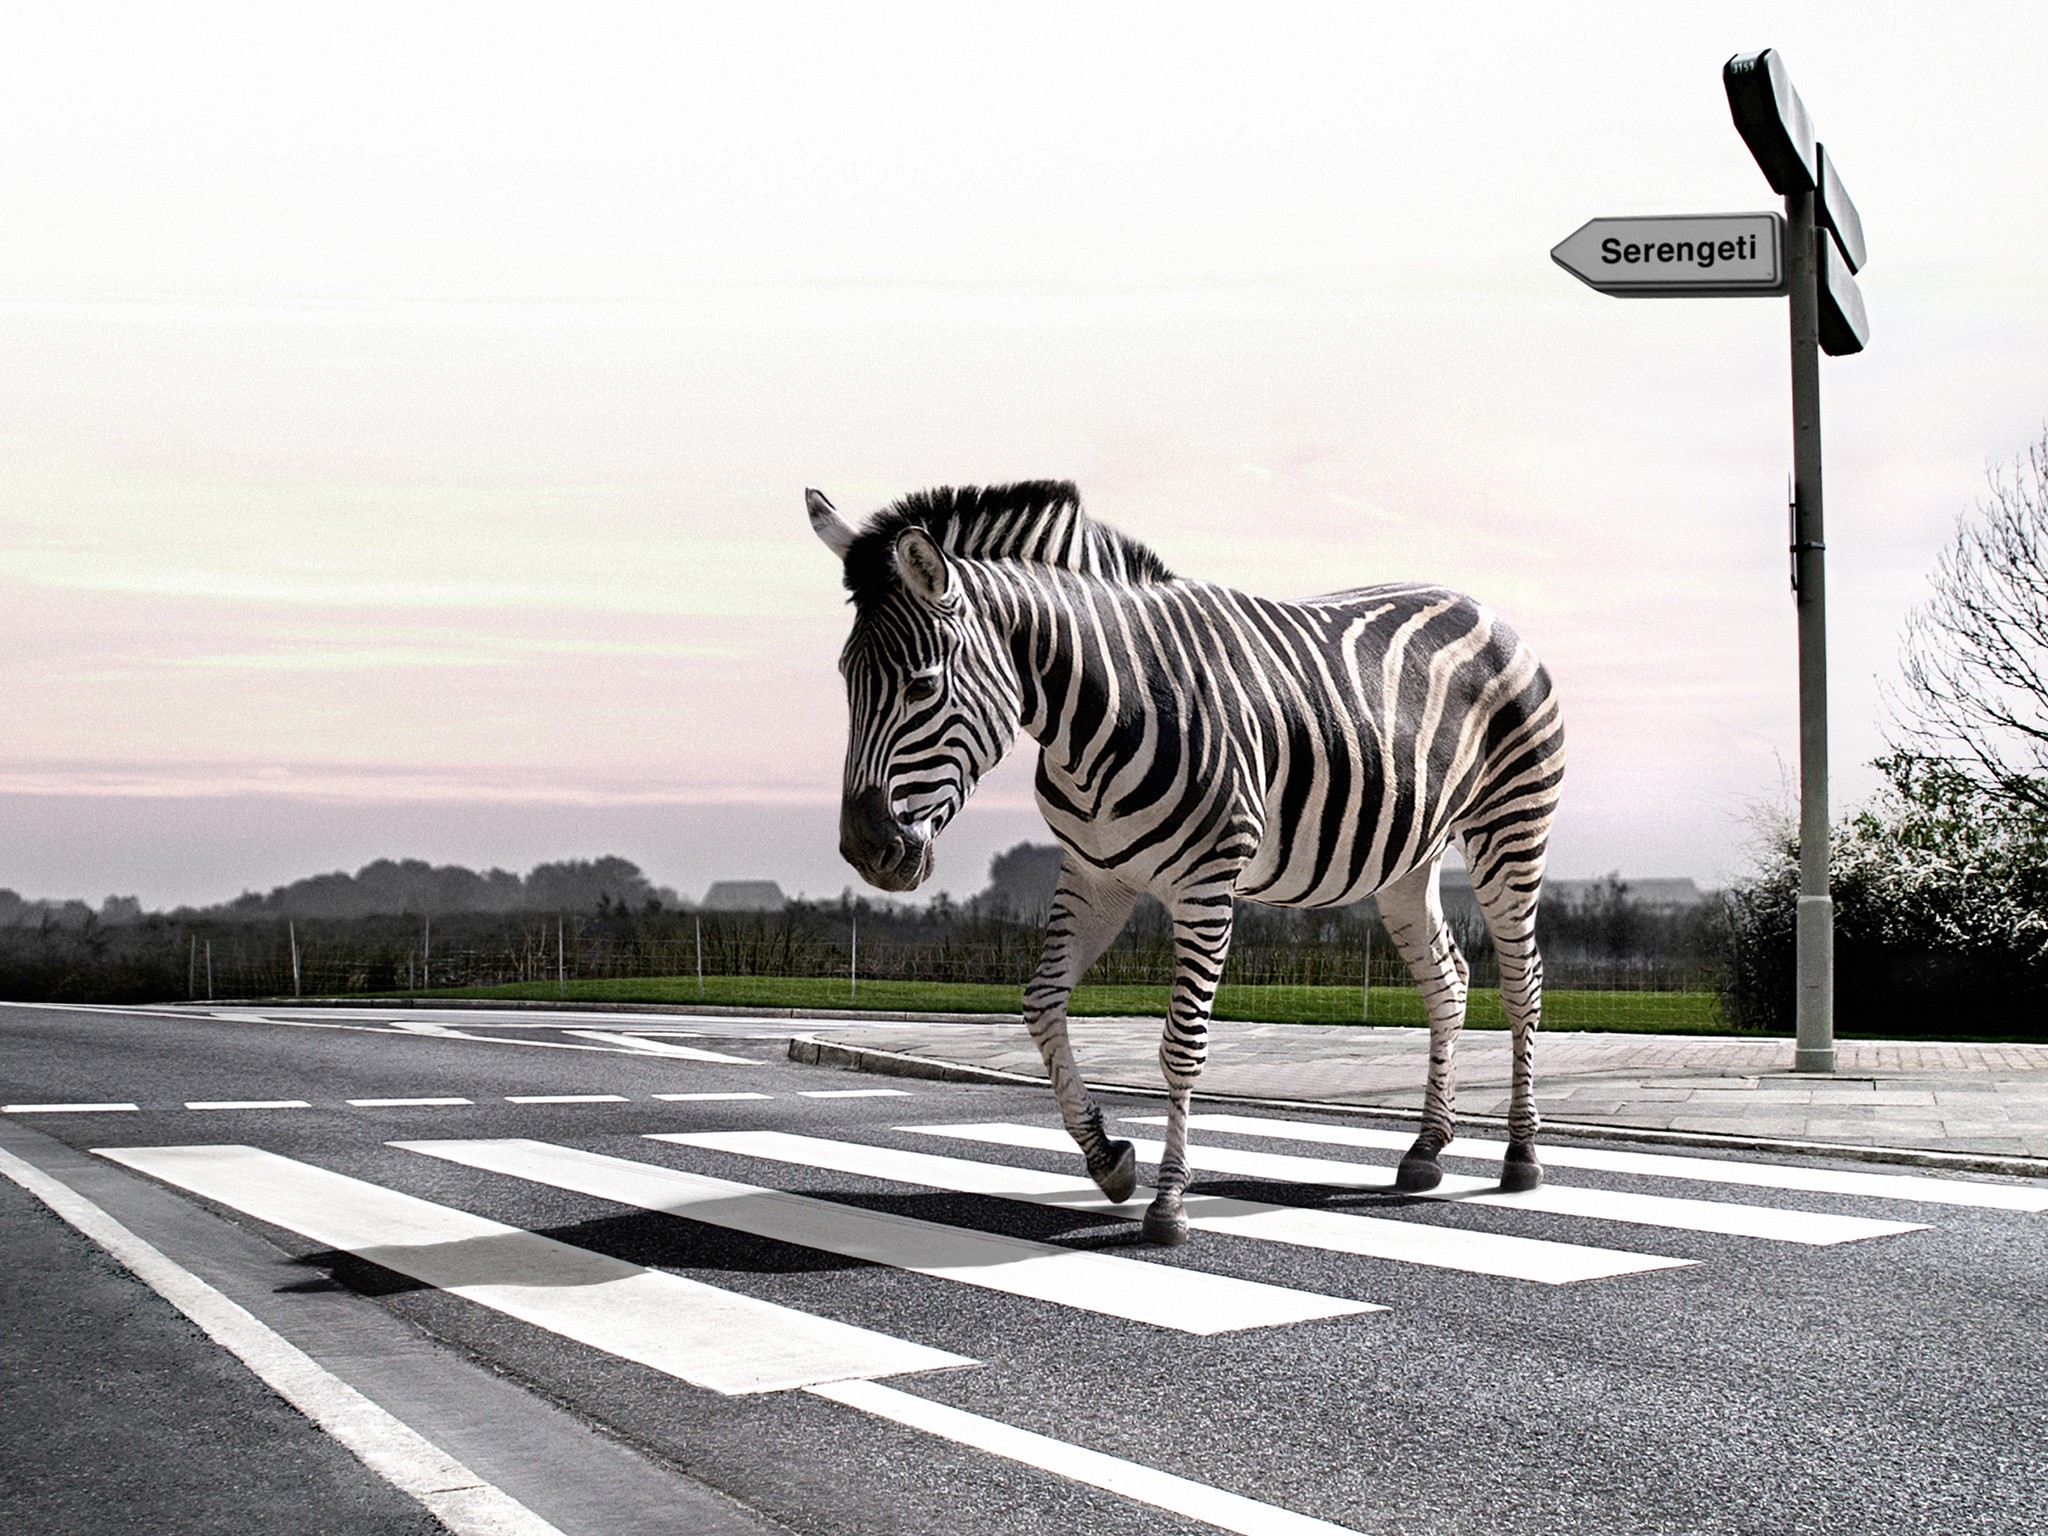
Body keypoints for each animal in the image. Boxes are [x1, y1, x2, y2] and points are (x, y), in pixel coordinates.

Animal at [807, 480, 1563, 1246]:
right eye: (845, 679)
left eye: (922, 685)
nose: (865, 849)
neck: (1101, 713)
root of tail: (1481, 607)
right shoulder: (1094, 876)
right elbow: (1041, 1006)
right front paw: (1109, 1160)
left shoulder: (1207, 883)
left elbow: (1182, 1044)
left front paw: (1168, 1201)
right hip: (1408, 862)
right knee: (1449, 982)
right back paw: (1427, 1148)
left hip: (1510, 829)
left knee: (1522, 983)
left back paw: (1521, 1154)